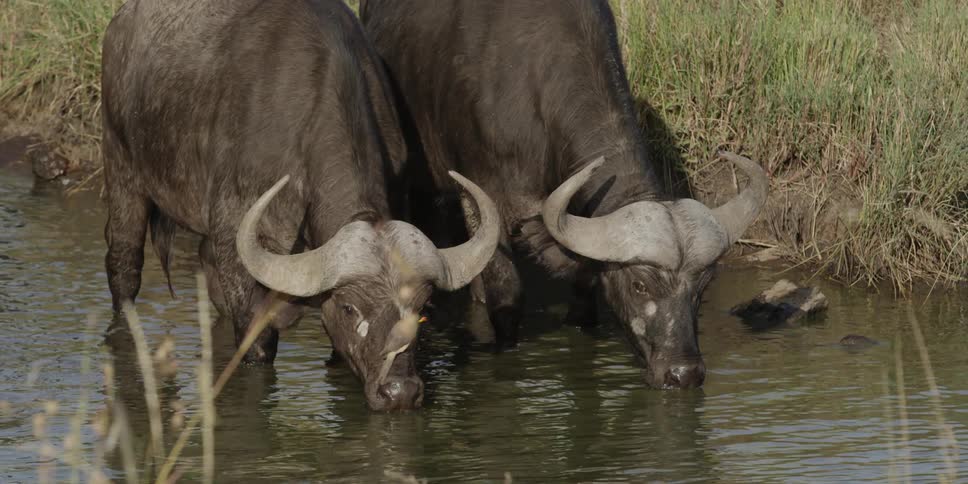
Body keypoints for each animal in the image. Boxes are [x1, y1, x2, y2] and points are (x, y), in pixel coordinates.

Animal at [101, 0, 500, 410]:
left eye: (420, 311)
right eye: (350, 307)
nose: (400, 391)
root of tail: (121, 24)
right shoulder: (239, 239)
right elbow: (258, 342)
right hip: (122, 170)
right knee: (124, 268)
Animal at [361, 0, 768, 389]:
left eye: (702, 286)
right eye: (639, 284)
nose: (684, 373)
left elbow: (585, 293)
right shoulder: (483, 192)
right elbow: (507, 294)